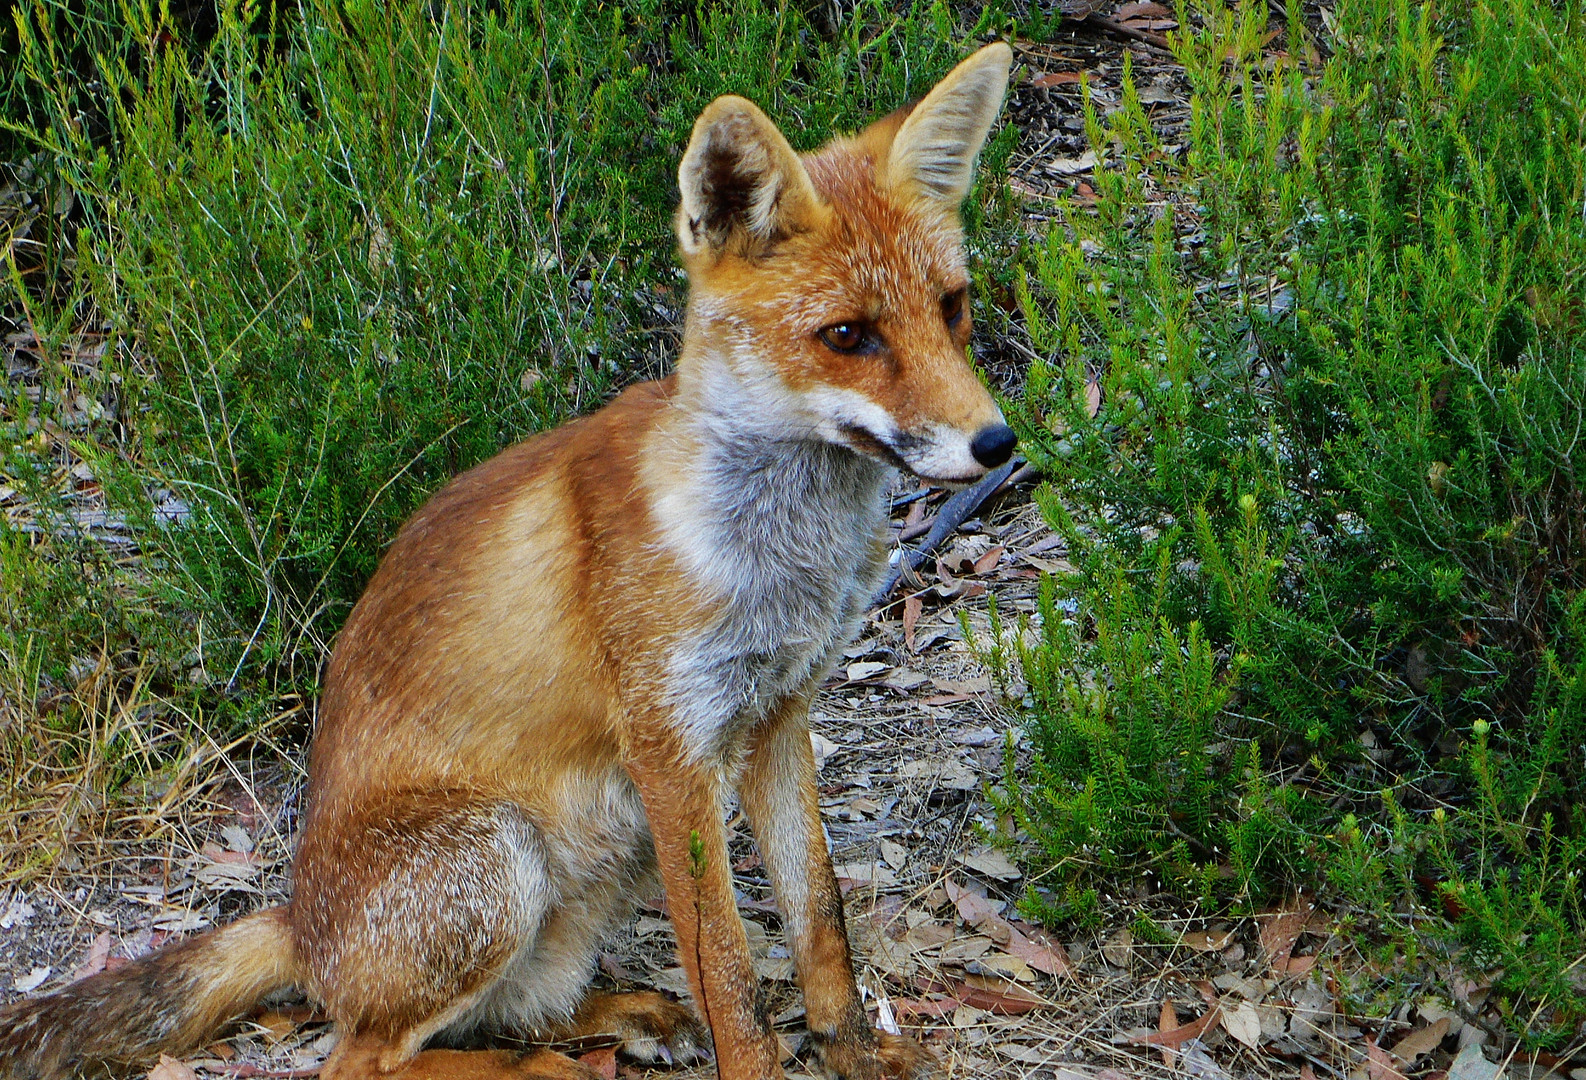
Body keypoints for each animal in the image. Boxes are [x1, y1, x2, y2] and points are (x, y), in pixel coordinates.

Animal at [0, 42, 1015, 1078]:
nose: (997, 445)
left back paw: (619, 1019)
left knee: (514, 1013)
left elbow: (820, 920)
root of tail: (298, 922)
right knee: (363, 1059)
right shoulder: (673, 751)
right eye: (848, 335)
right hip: (500, 859)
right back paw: (538, 1068)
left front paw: (854, 1052)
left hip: (597, 861)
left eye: (952, 309)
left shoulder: (778, 715)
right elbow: (729, 974)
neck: (782, 556)